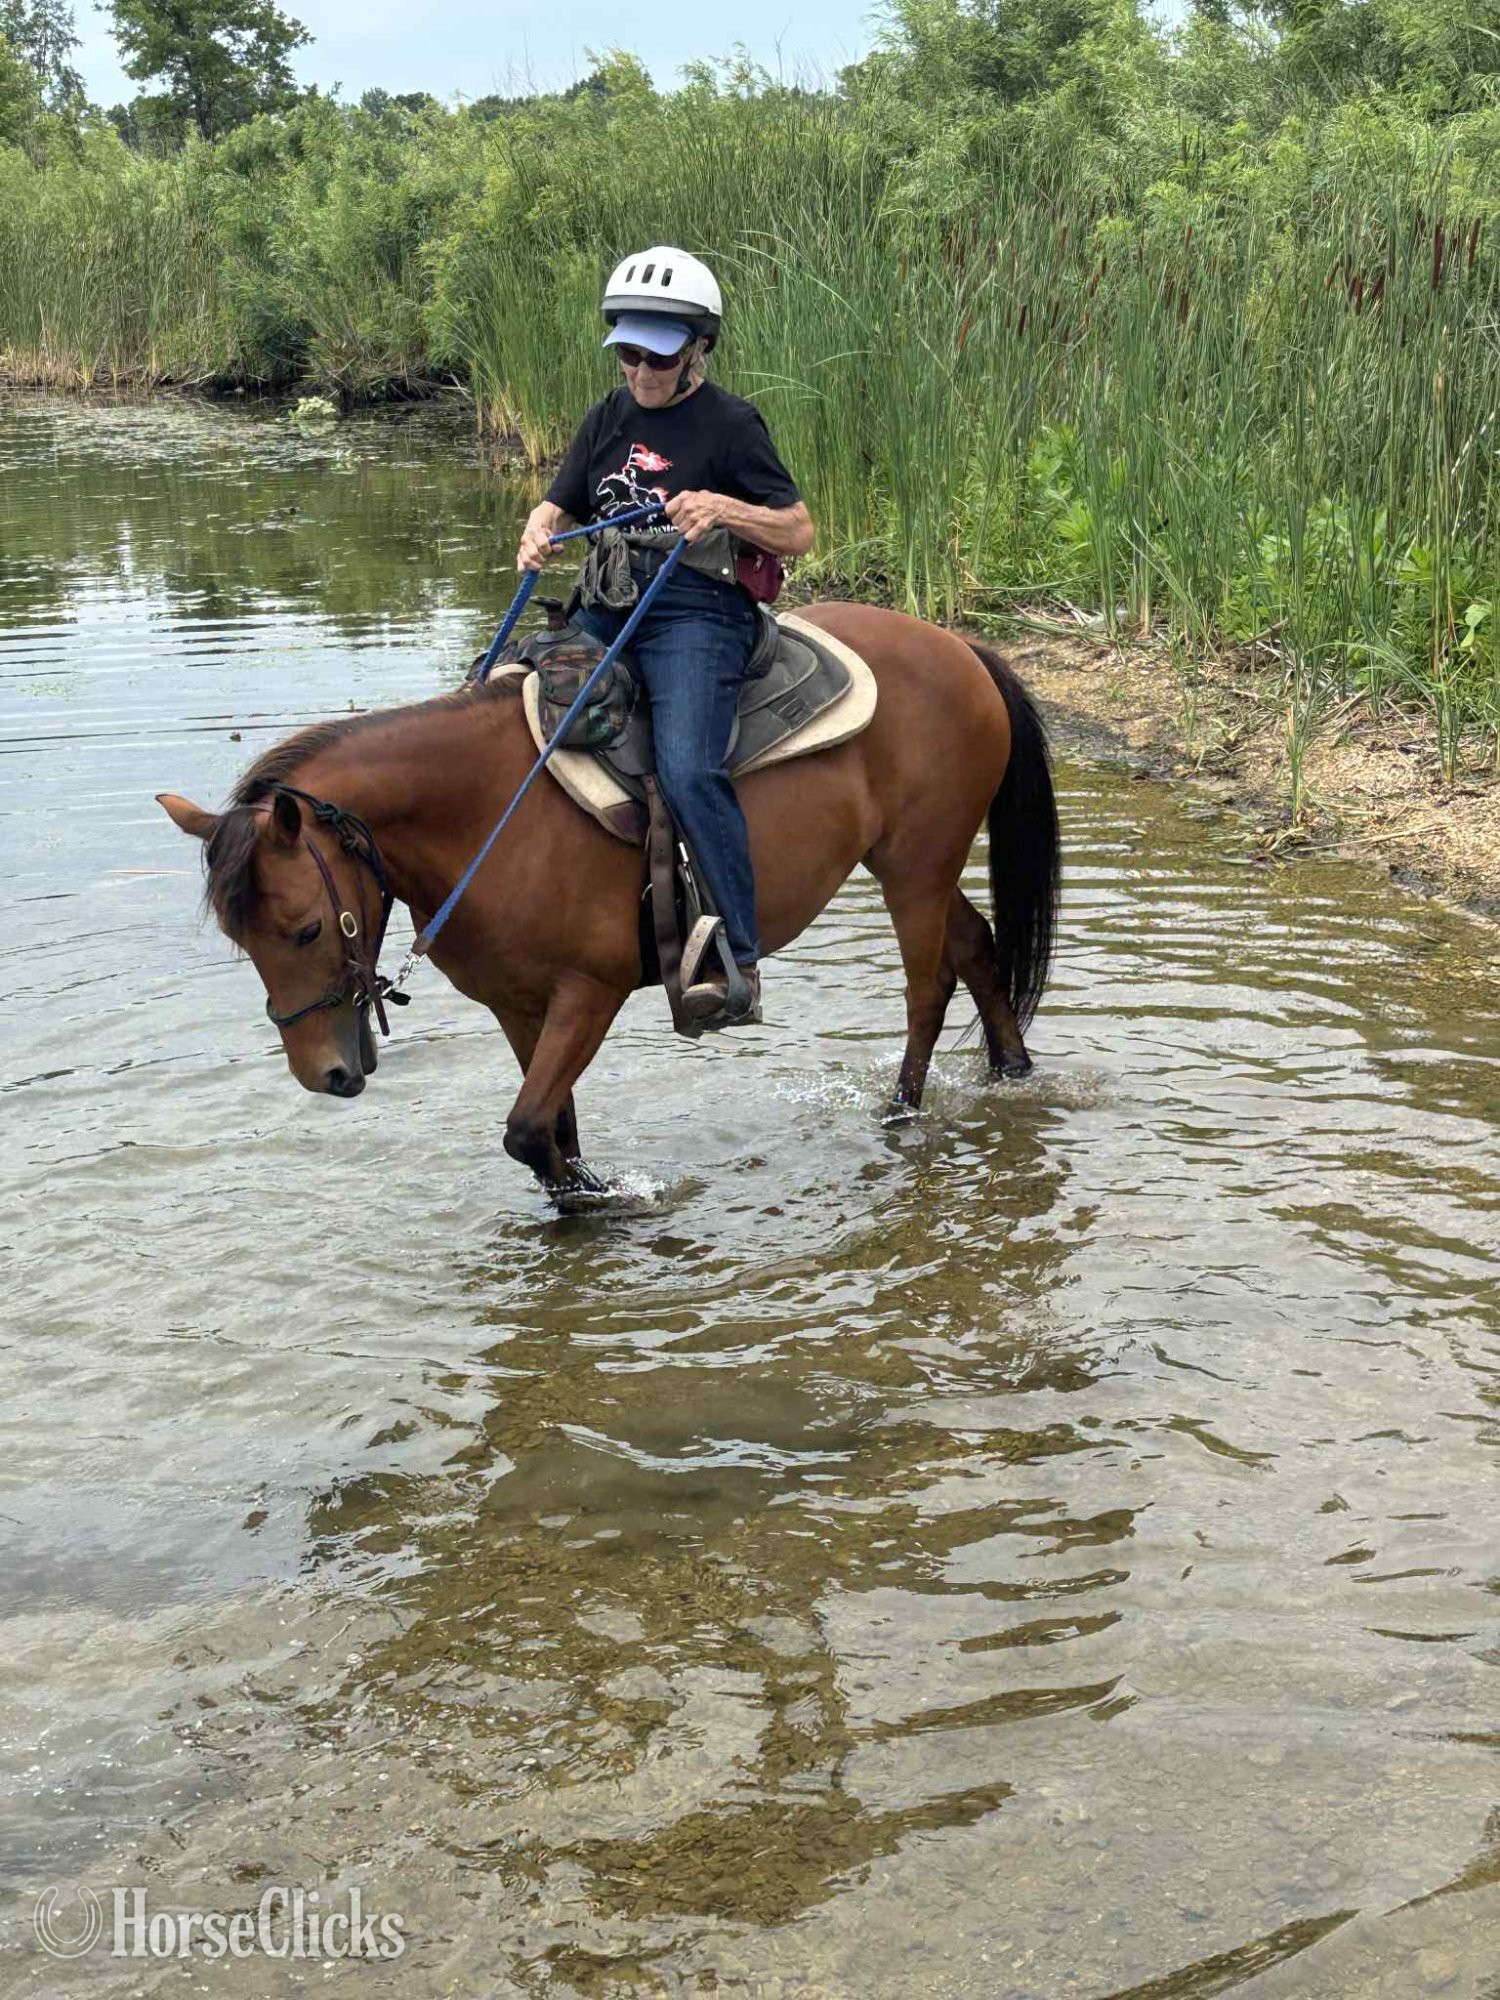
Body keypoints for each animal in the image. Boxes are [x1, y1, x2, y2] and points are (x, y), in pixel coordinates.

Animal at [156, 602, 1060, 1196]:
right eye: (244, 943)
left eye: (307, 929)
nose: (325, 1074)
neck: (490, 810)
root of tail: (960, 647)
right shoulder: (517, 1006)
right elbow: (551, 1124)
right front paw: (575, 1194)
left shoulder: (589, 995)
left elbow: (526, 1128)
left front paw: (598, 1200)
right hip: (918, 865)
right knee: (978, 948)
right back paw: (1012, 1071)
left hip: (915, 866)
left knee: (927, 988)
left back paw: (901, 1113)